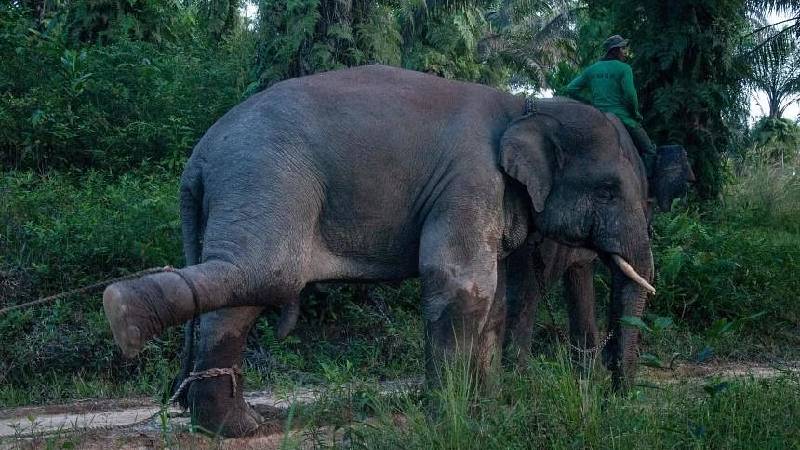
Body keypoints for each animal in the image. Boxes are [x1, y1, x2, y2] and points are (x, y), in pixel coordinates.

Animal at [103, 65, 652, 438]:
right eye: (608, 190)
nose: (618, 395)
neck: (528, 107)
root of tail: (199, 156)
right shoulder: (471, 181)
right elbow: (460, 284)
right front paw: (450, 418)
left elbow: (491, 301)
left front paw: (488, 410)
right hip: (264, 178)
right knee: (264, 273)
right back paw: (129, 318)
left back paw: (227, 422)